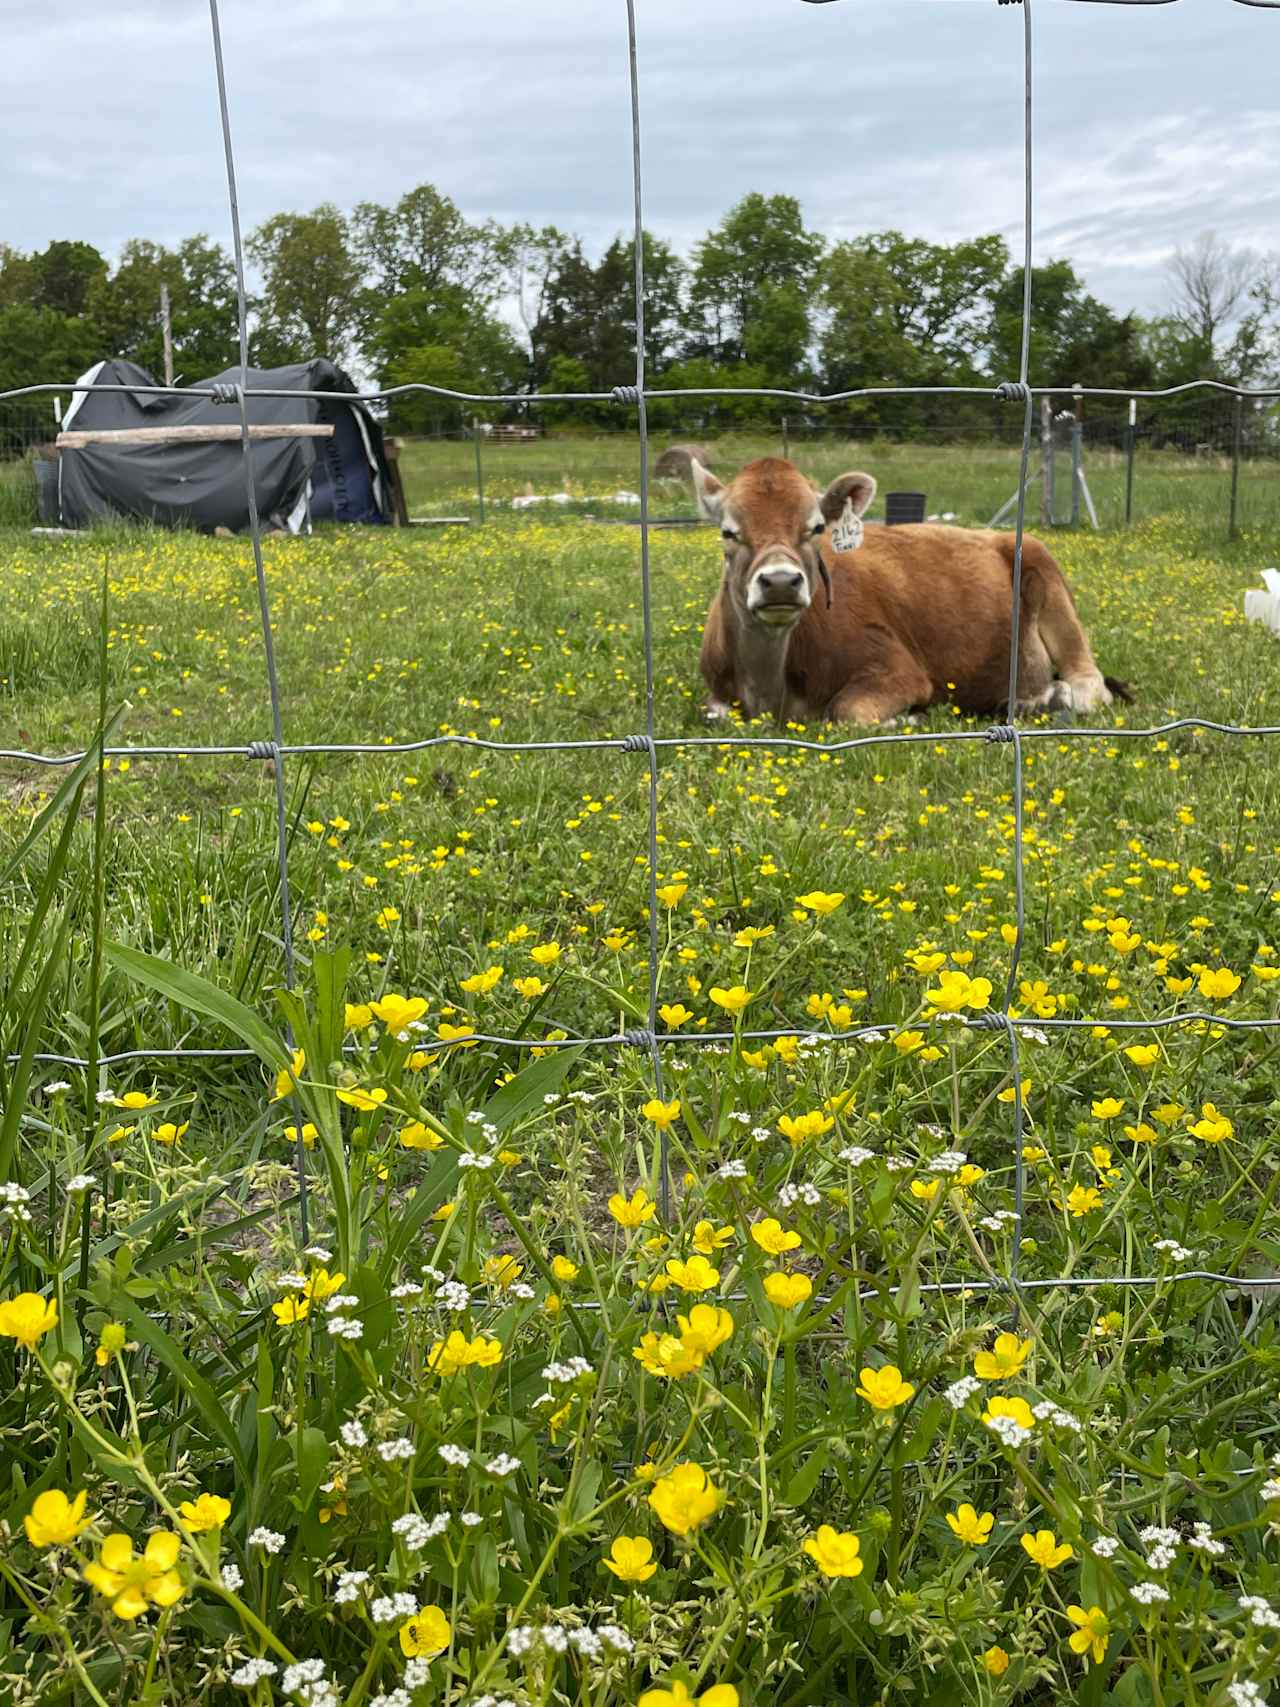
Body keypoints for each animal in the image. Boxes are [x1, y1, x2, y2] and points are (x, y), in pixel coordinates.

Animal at [686, 454, 1126, 727]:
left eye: (816, 528)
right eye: (728, 532)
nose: (780, 581)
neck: (769, 688)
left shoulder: (898, 669)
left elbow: (847, 712)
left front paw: (912, 717)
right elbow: (713, 713)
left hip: (1044, 571)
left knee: (1090, 684)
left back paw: (1044, 700)